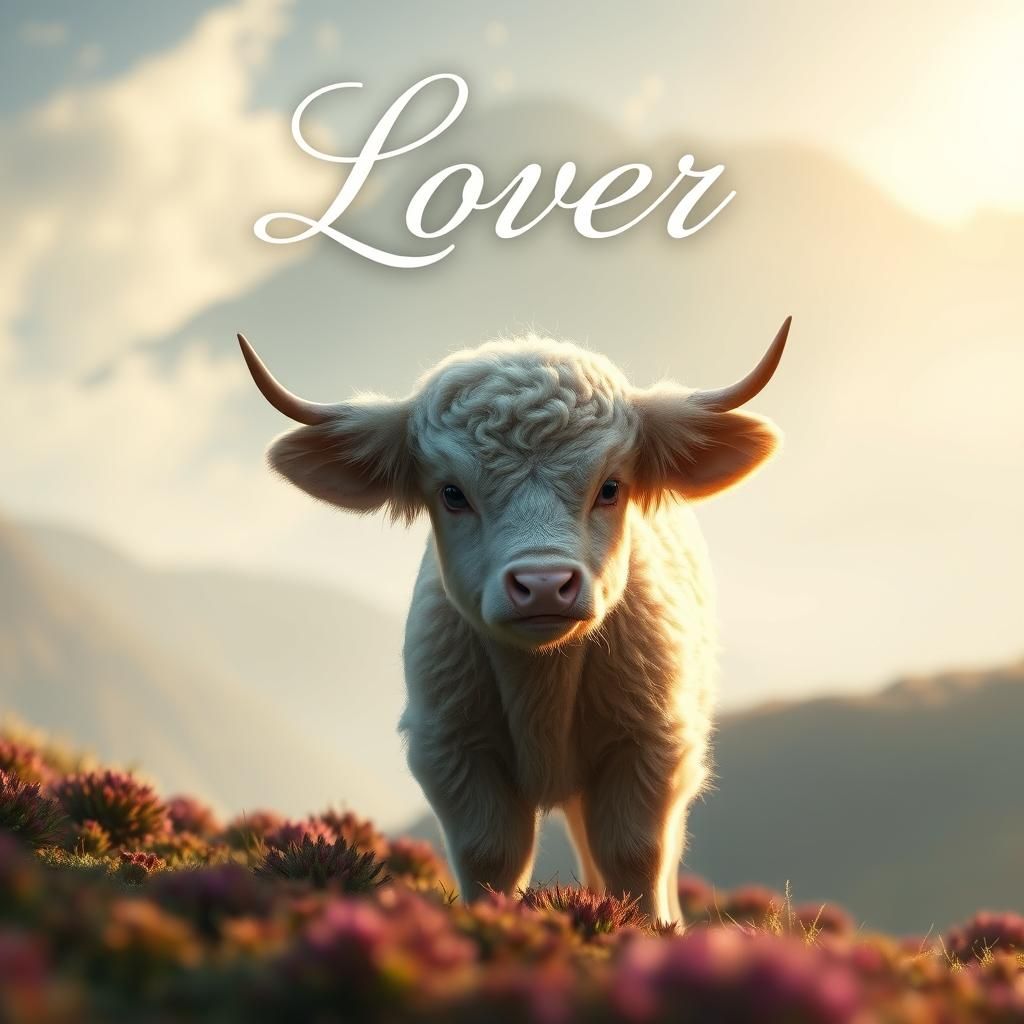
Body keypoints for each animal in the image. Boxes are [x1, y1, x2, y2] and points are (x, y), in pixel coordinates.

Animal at [239, 317, 789, 924]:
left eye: (610, 487)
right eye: (452, 493)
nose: (543, 584)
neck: (541, 684)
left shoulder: (651, 743)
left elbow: (635, 854)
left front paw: (647, 932)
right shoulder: (452, 749)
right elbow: (491, 854)